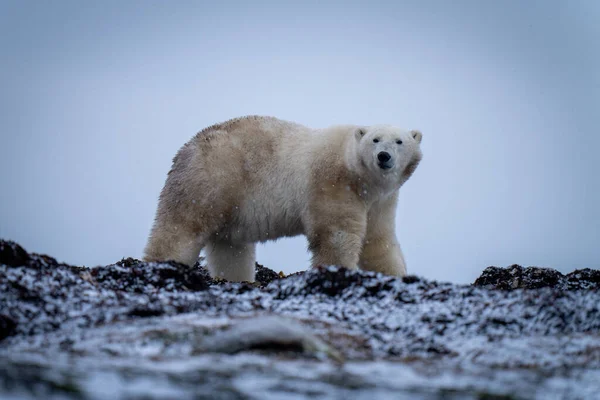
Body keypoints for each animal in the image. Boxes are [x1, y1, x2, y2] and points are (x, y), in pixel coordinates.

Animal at [143, 116, 422, 282]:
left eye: (399, 141)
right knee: (181, 228)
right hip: (211, 179)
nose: (384, 156)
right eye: (375, 139)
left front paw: (398, 276)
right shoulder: (332, 184)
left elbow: (378, 240)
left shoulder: (381, 200)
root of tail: (186, 149)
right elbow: (336, 235)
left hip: (230, 202)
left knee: (230, 249)